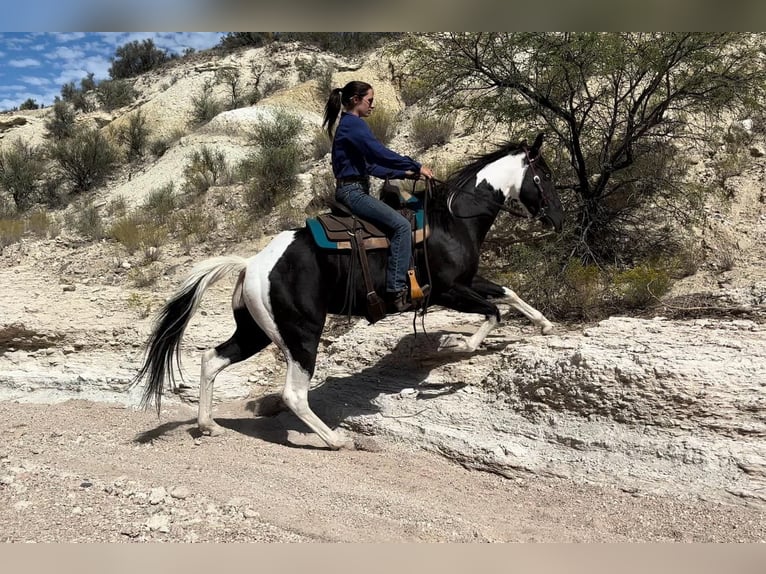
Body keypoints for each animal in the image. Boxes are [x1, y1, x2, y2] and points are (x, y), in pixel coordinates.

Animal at [133, 132, 564, 450]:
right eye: (542, 177)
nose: (557, 219)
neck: (451, 221)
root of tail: (252, 263)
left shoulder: (469, 282)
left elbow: (507, 293)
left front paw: (545, 325)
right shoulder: (447, 291)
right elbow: (494, 313)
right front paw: (457, 347)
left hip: (255, 331)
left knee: (211, 359)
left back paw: (209, 425)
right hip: (302, 334)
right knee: (293, 394)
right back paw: (336, 439)